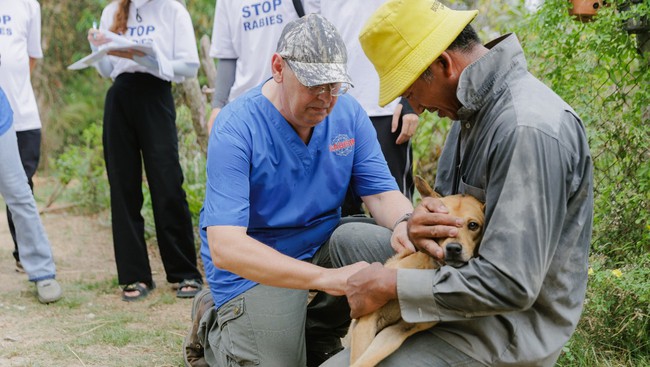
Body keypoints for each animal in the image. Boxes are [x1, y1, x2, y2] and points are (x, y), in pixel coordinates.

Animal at [350, 178, 480, 367]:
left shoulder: (397, 331)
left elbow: (367, 360)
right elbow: (358, 361)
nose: (453, 249)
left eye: (473, 225)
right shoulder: (367, 321)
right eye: (438, 222)